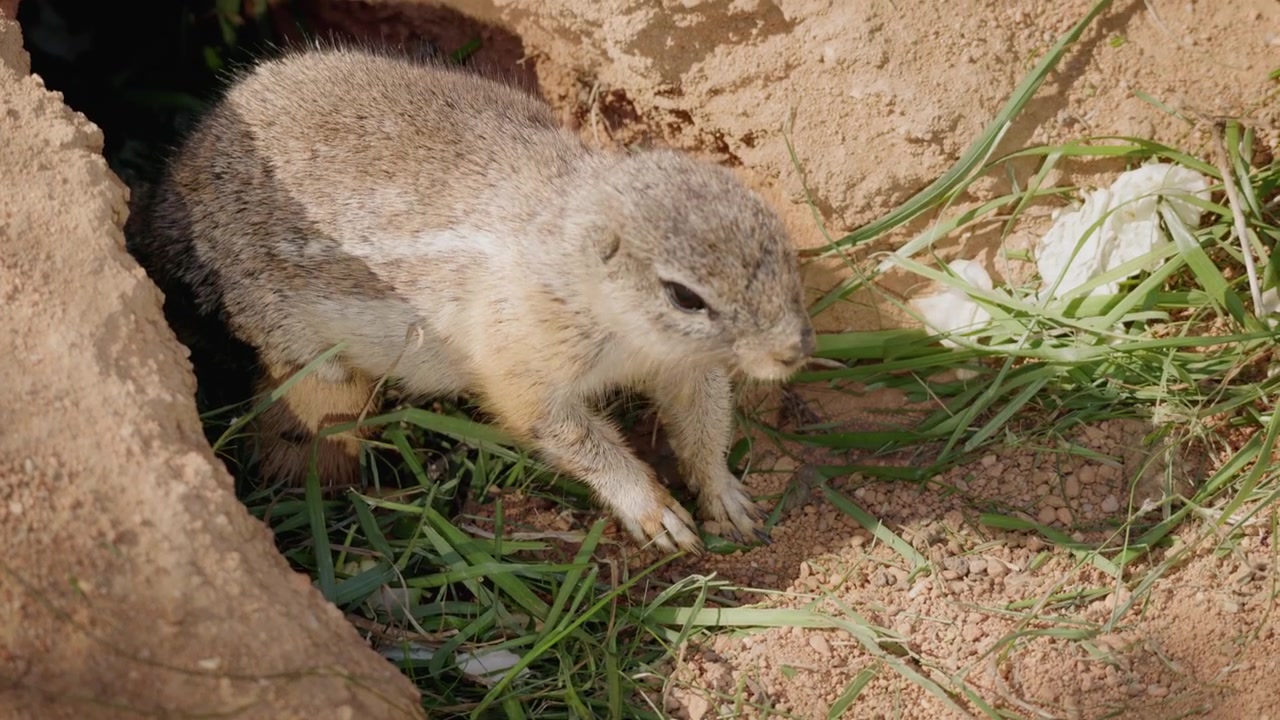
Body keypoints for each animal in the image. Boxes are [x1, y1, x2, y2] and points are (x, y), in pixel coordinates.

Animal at [128, 43, 816, 554]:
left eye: (783, 243)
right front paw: (657, 513)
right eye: (684, 296)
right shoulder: (525, 356)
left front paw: (726, 498)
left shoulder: (688, 369)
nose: (794, 352)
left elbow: (703, 425)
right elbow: (570, 434)